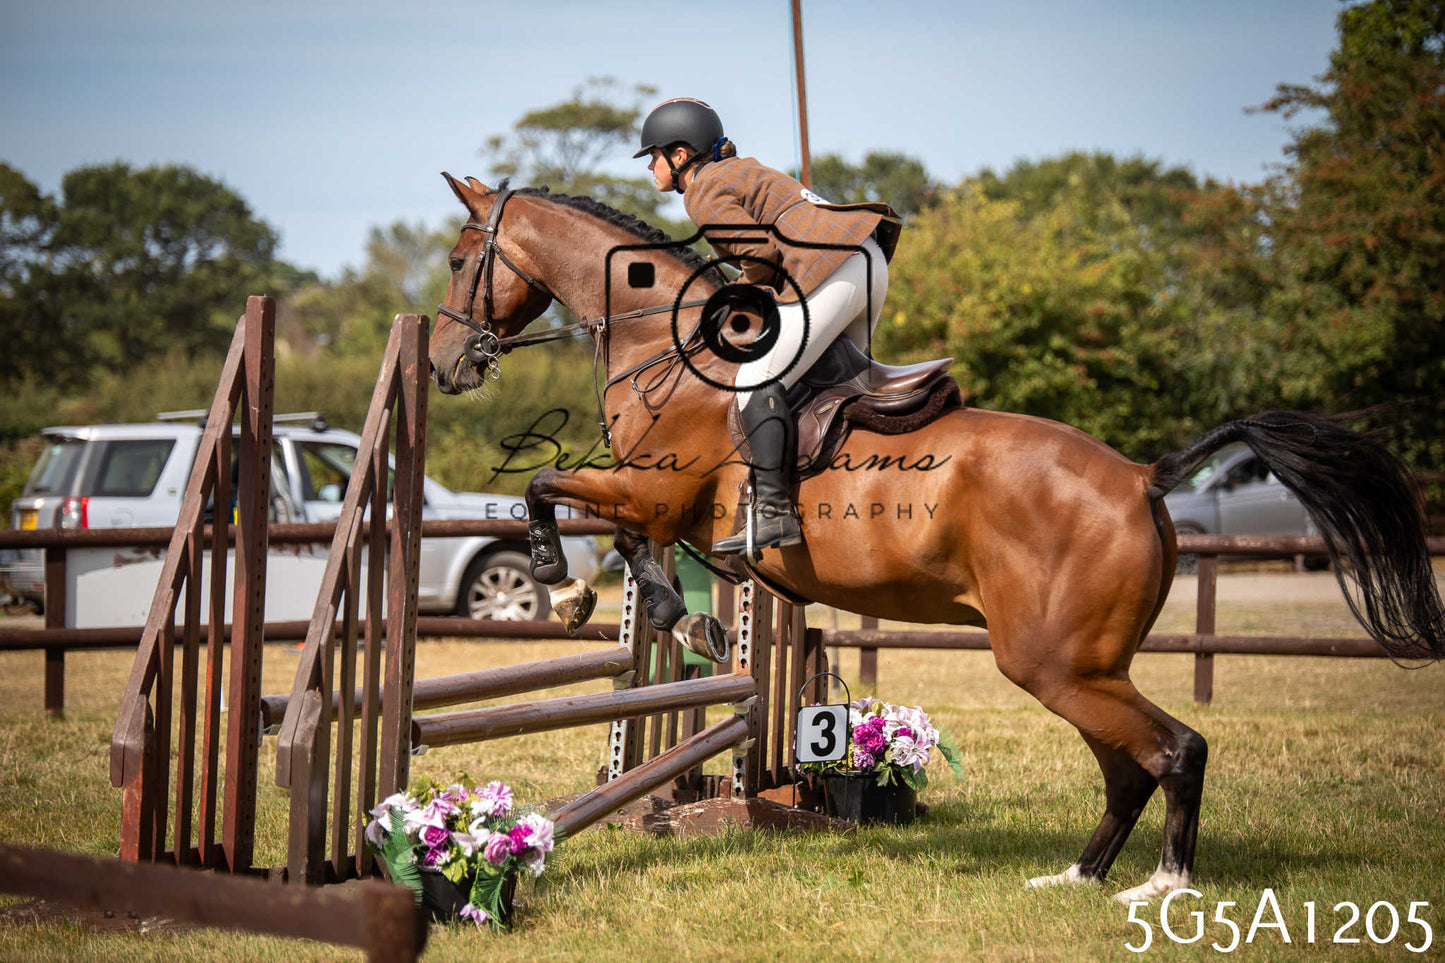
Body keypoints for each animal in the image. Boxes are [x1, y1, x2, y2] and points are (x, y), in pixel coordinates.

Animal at [428, 174, 1445, 903]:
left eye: (456, 257)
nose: (442, 364)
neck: (665, 341)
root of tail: (1143, 476)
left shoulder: (650, 490)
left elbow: (551, 494)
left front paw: (565, 586)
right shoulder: (659, 509)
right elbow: (634, 555)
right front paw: (682, 618)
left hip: (1052, 660)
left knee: (1172, 750)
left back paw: (1160, 886)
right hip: (1085, 665)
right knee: (1127, 767)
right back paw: (1075, 875)